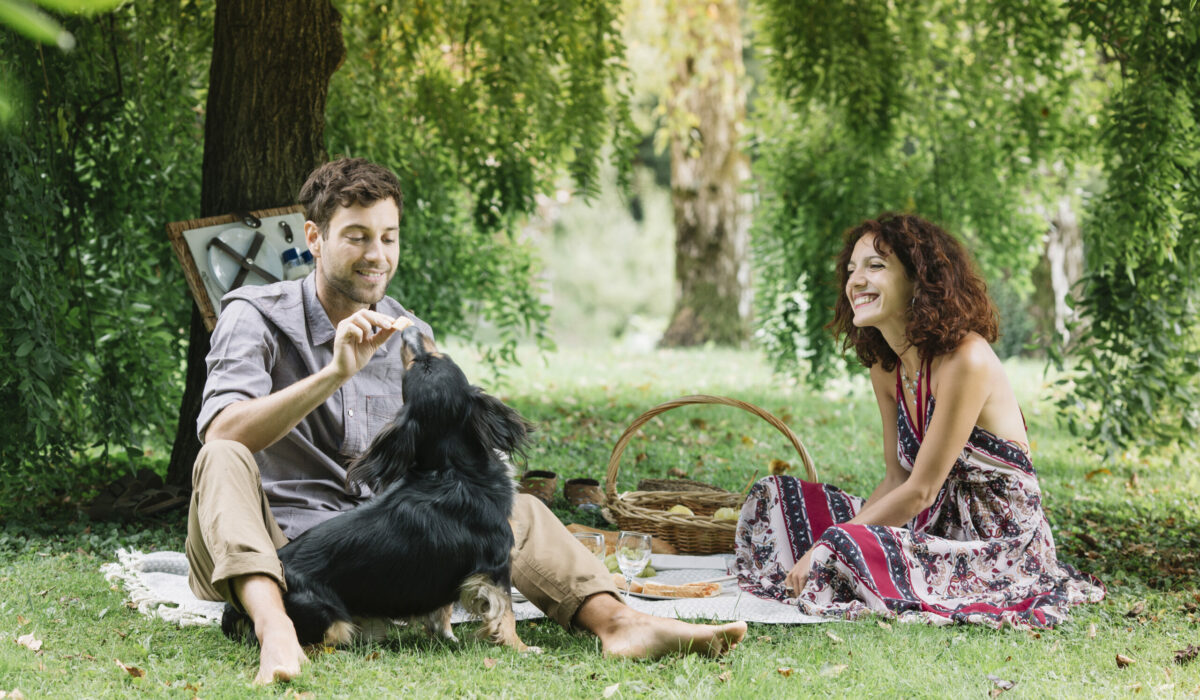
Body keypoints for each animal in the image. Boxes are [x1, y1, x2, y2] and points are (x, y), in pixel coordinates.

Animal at [224, 326, 540, 653]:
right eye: (418, 362)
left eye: (431, 359)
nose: (410, 331)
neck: (452, 470)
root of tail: (234, 608)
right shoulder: (495, 566)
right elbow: (505, 613)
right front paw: (520, 648)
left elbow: (442, 612)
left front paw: (446, 636)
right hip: (332, 622)